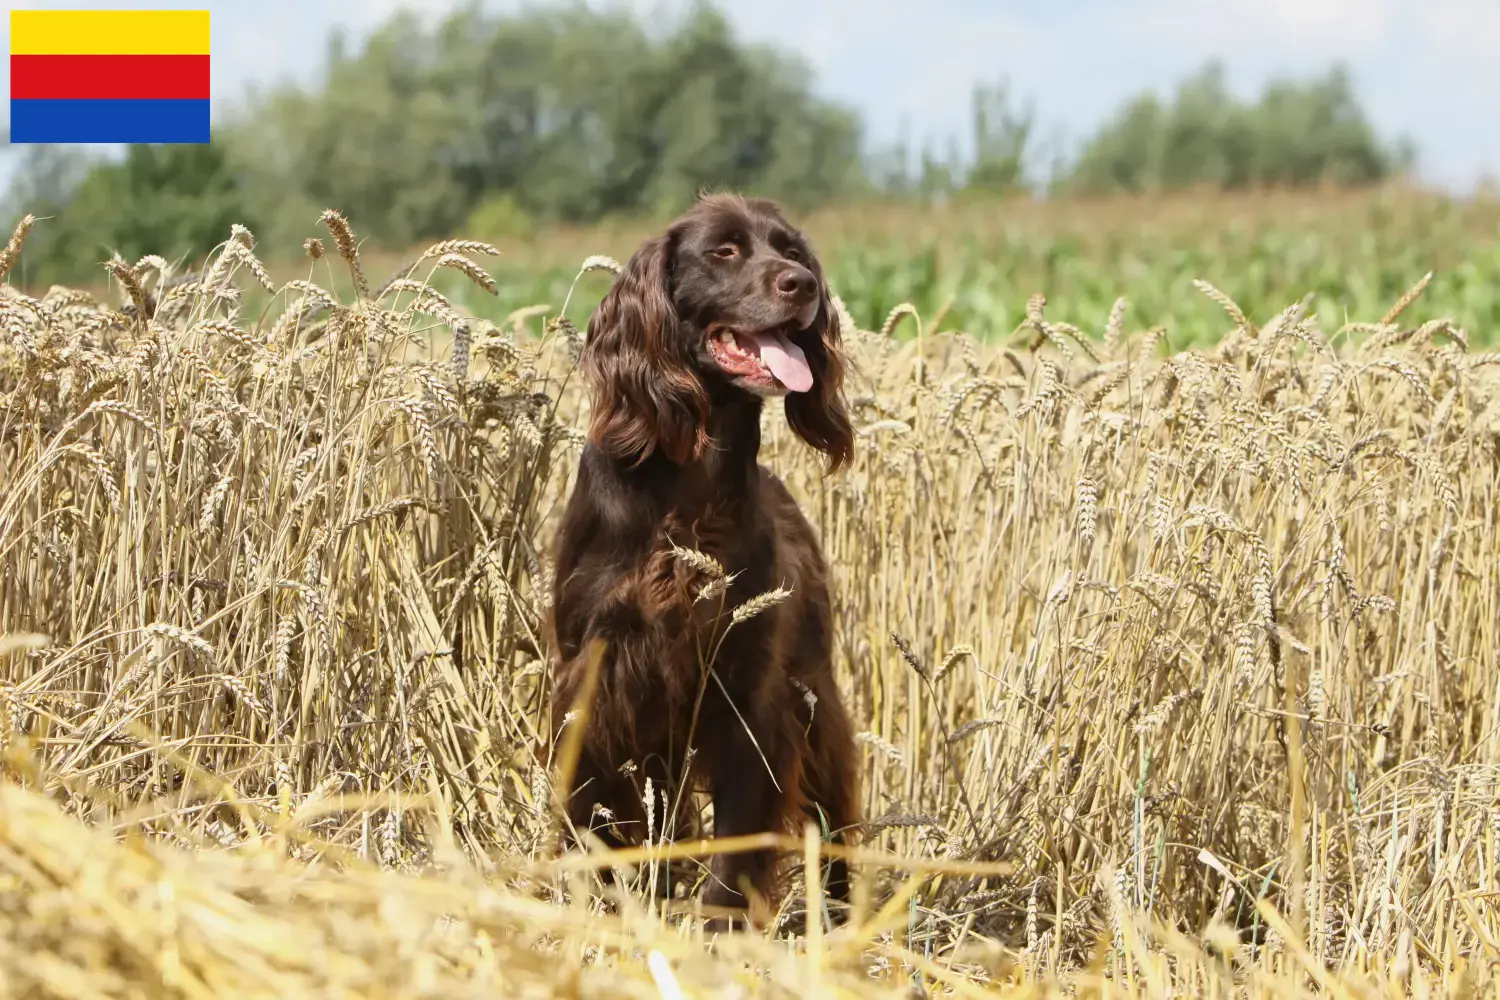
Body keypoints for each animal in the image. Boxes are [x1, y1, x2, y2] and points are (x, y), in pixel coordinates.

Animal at [549, 191, 858, 929]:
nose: (802, 286)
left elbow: (738, 842)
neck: (690, 482)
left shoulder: (750, 697)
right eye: (723, 251)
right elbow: (595, 816)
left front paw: (720, 931)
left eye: (792, 252)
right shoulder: (596, 675)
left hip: (815, 698)